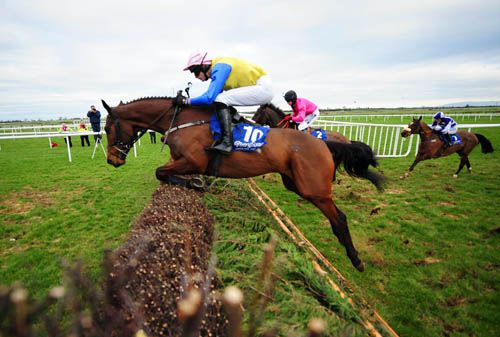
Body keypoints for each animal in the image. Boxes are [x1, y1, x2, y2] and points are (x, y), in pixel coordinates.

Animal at [99, 96, 384, 270]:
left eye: (109, 129)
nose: (112, 160)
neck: (182, 121)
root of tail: (323, 143)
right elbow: (162, 172)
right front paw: (195, 184)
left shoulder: (193, 160)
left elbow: (160, 172)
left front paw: (196, 184)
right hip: (293, 182)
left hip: (314, 190)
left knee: (340, 219)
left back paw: (355, 259)